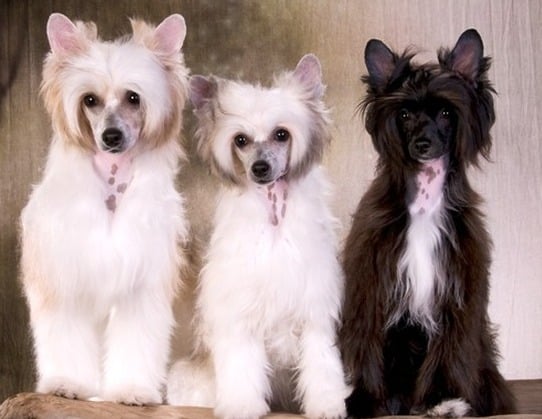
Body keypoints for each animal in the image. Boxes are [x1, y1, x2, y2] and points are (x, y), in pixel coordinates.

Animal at [20, 13, 190, 406]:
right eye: (90, 100)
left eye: (133, 98)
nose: (111, 136)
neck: (112, 187)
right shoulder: (63, 280)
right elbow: (64, 336)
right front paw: (67, 383)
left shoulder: (141, 288)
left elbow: (136, 340)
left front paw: (132, 390)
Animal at [168, 55, 350, 419]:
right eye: (240, 140)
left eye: (281, 134)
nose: (260, 168)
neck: (274, 221)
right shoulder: (240, 319)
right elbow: (242, 367)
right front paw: (242, 406)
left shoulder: (314, 316)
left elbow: (322, 366)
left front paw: (327, 405)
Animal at [340, 27, 520, 418]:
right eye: (405, 113)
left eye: (446, 112)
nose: (423, 143)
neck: (423, 203)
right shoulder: (370, 286)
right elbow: (364, 343)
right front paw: (363, 399)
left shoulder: (456, 293)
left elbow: (451, 350)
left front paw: (443, 399)